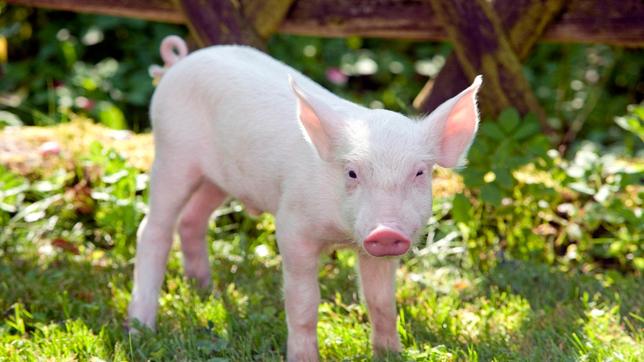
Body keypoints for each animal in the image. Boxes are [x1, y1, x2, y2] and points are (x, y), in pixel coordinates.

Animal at [131, 35, 480, 360]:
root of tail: (178, 64)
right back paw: (139, 328)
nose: (385, 231)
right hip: (172, 153)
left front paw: (390, 354)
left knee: (192, 219)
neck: (341, 233)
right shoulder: (292, 226)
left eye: (419, 173)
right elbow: (304, 302)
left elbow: (381, 302)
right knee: (153, 229)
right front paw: (303, 357)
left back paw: (206, 291)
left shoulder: (378, 253)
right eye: (352, 173)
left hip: (217, 179)